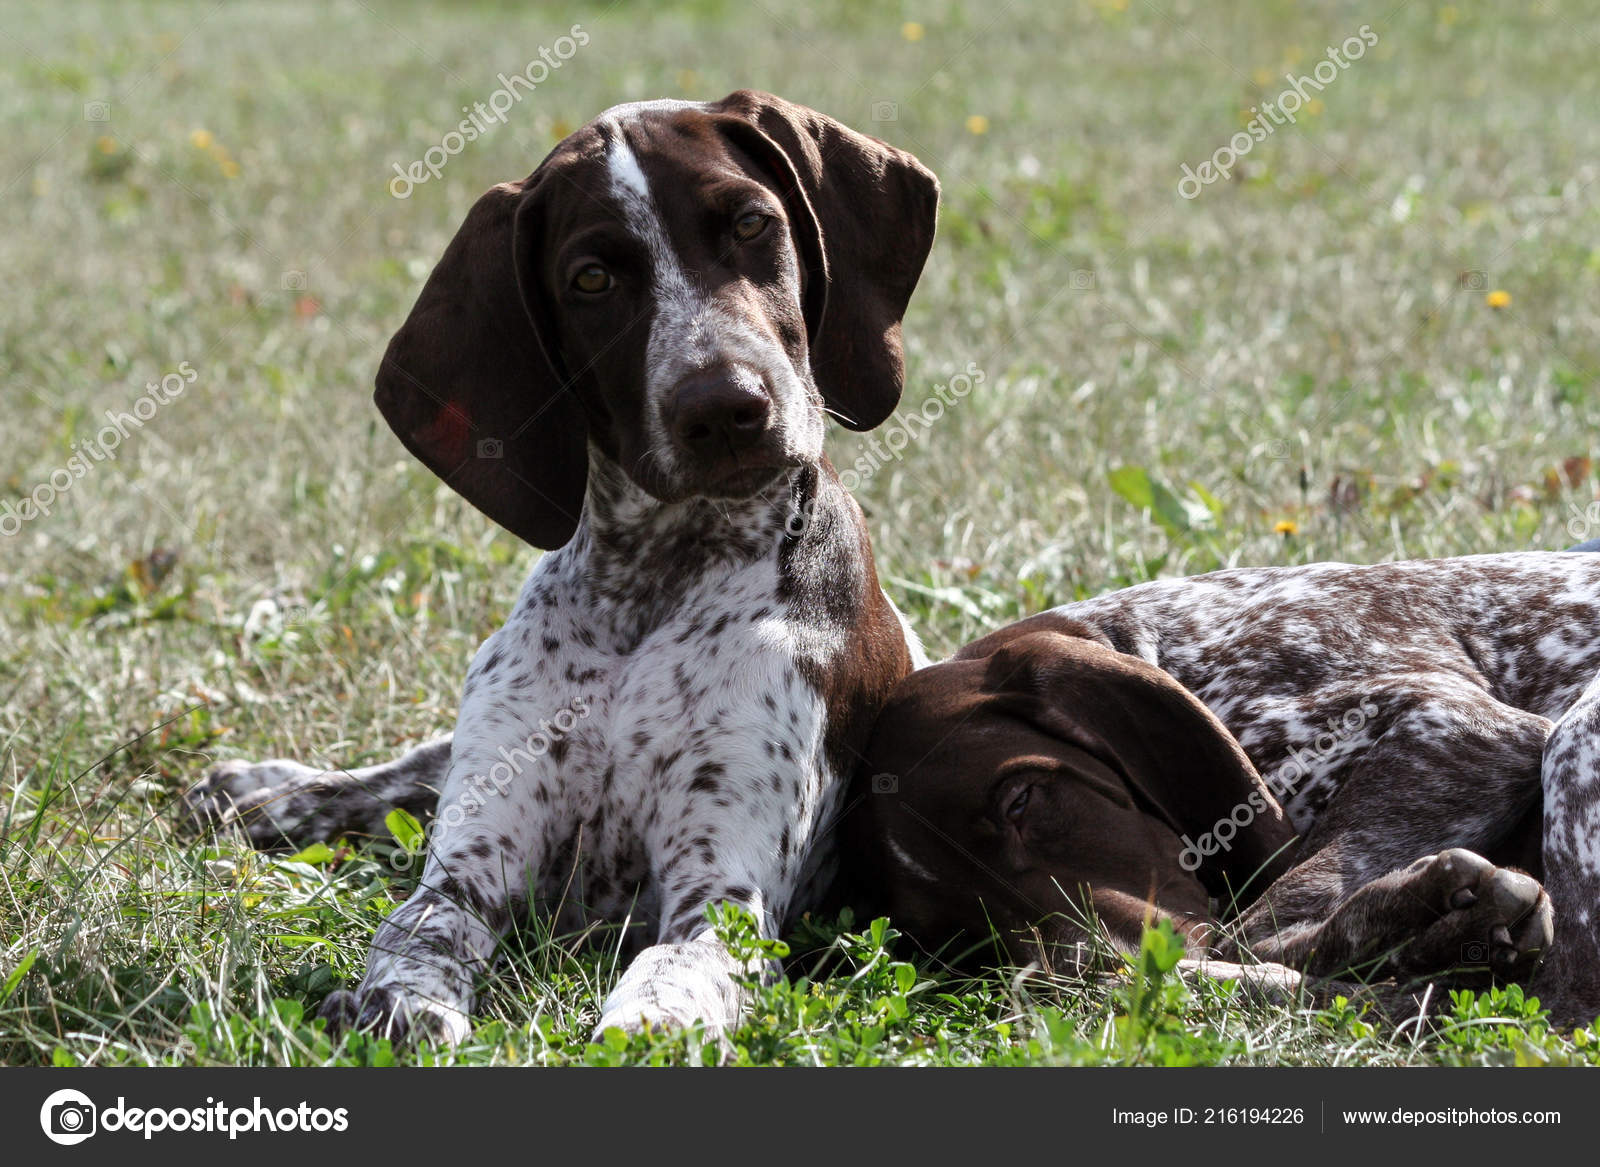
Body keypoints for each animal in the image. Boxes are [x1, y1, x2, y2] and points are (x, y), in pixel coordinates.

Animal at [851, 550, 1600, 1018]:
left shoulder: (1462, 727)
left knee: (1564, 998)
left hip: (1575, 735)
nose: (1093, 974)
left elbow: (1259, 925)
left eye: (1021, 800)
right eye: (964, 936)